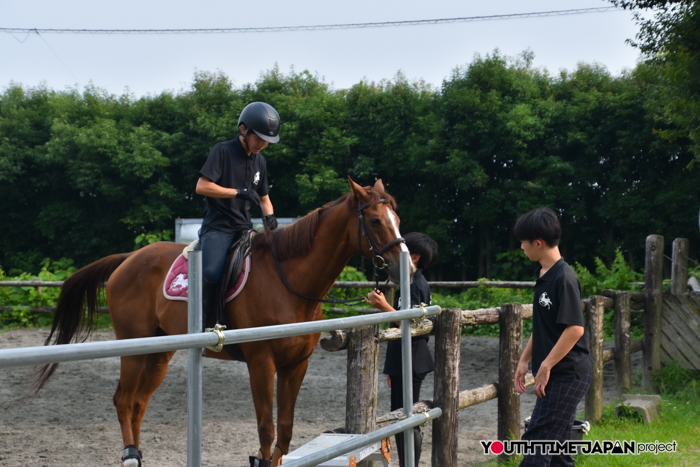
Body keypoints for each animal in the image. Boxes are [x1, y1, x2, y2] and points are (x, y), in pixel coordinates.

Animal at [34, 177, 413, 467]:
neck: (287, 281)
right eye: (375, 221)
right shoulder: (261, 363)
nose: (406, 268)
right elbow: (266, 430)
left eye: (396, 216)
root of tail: (129, 258)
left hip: (159, 353)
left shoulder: (296, 365)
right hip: (135, 348)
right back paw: (129, 455)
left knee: (139, 403)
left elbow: (285, 431)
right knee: (124, 400)